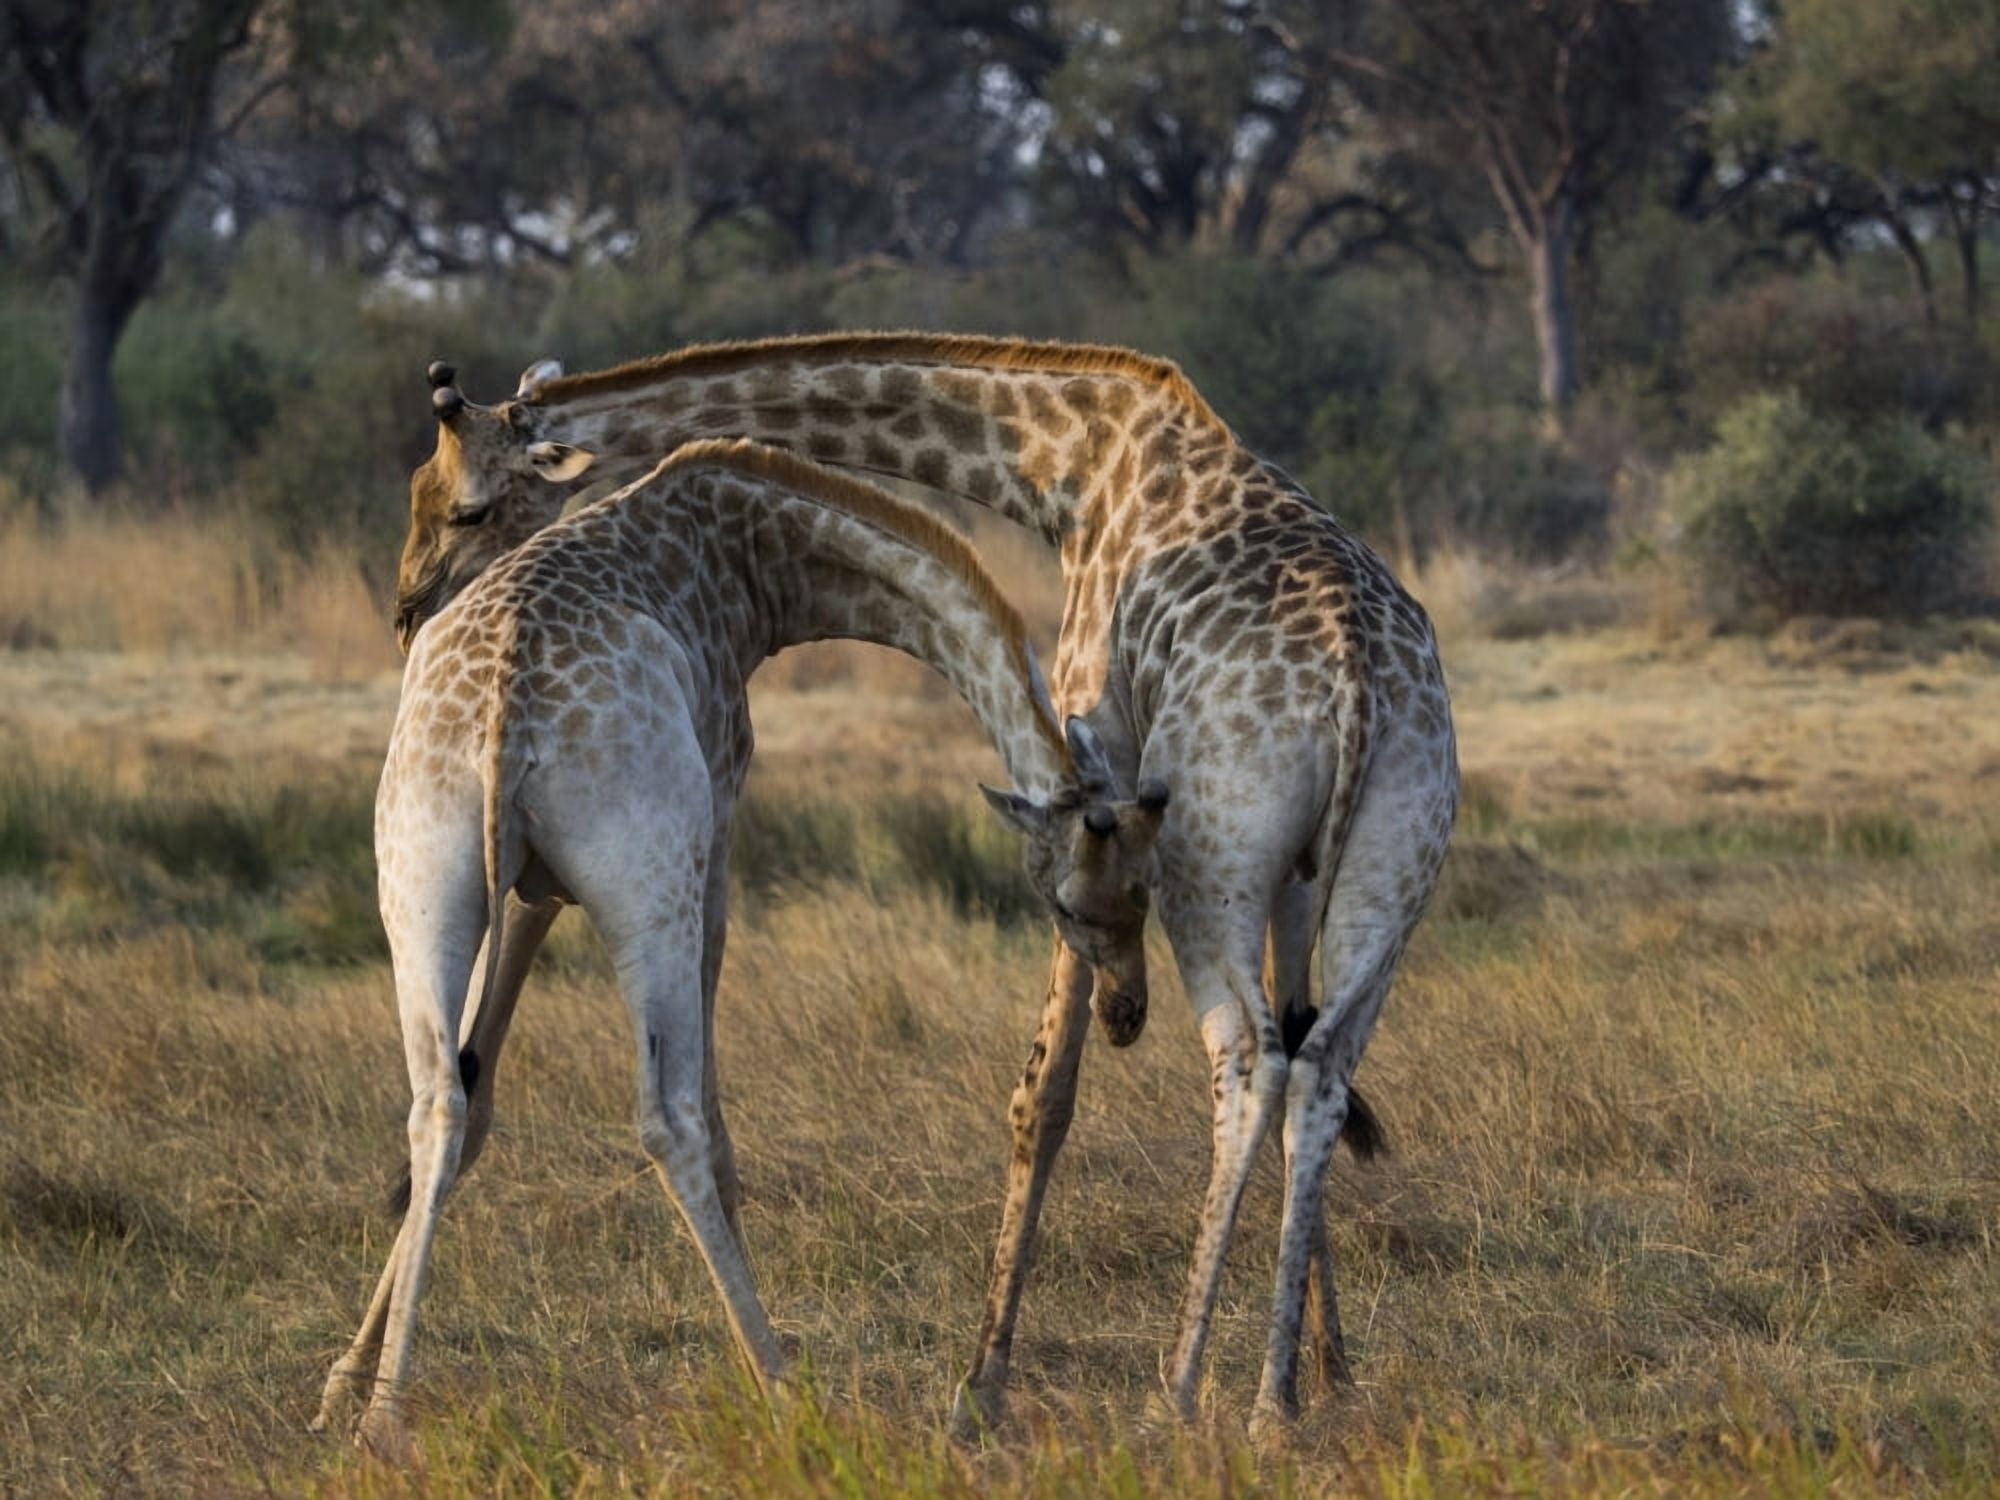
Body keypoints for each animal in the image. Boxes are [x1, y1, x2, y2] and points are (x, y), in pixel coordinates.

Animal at [315, 427, 1166, 1458]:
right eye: (1089, 902)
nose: (1127, 1011)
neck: (759, 552)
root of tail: (506, 708)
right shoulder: (717, 817)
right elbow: (710, 1117)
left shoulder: (523, 889)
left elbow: (474, 1104)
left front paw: (342, 1386)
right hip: (651, 881)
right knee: (666, 1116)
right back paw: (785, 1384)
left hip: (422, 879)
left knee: (436, 1101)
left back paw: (385, 1415)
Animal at [393, 334, 1460, 1436]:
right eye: (418, 491)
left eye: (468, 506)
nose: (407, 608)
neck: (1066, 462)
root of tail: (1357, 686)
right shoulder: (1276, 867)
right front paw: (1323, 1367)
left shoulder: (1093, 735)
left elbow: (1046, 1091)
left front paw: (980, 1386)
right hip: (1385, 863)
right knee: (1316, 1063)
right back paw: (1271, 1401)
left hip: (1219, 859)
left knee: (1250, 1057)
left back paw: (1171, 1393)